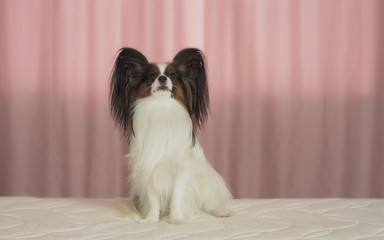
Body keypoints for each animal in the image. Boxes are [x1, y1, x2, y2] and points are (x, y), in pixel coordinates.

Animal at [109, 47, 232, 224]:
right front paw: (151, 219)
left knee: (208, 202)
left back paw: (219, 211)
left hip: (209, 180)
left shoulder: (182, 170)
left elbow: (177, 196)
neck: (162, 107)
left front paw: (177, 219)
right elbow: (153, 198)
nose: (162, 78)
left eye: (172, 75)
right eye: (151, 76)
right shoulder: (148, 169)